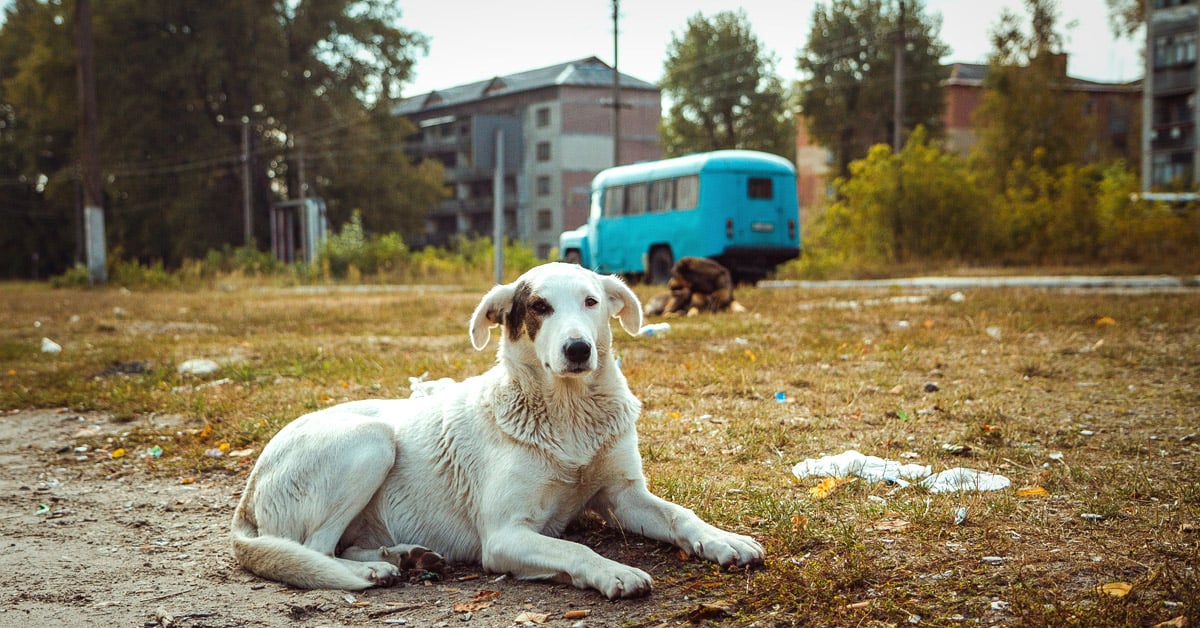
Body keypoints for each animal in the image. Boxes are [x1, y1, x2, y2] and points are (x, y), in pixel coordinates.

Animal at [229, 262, 763, 597]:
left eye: (591, 302)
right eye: (540, 307)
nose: (578, 349)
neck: (568, 414)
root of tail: (249, 490)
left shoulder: (624, 495)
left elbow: (680, 515)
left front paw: (723, 540)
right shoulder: (505, 536)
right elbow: (573, 546)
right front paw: (613, 572)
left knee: (342, 543)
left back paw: (406, 556)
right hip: (371, 441)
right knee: (315, 549)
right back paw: (374, 570)